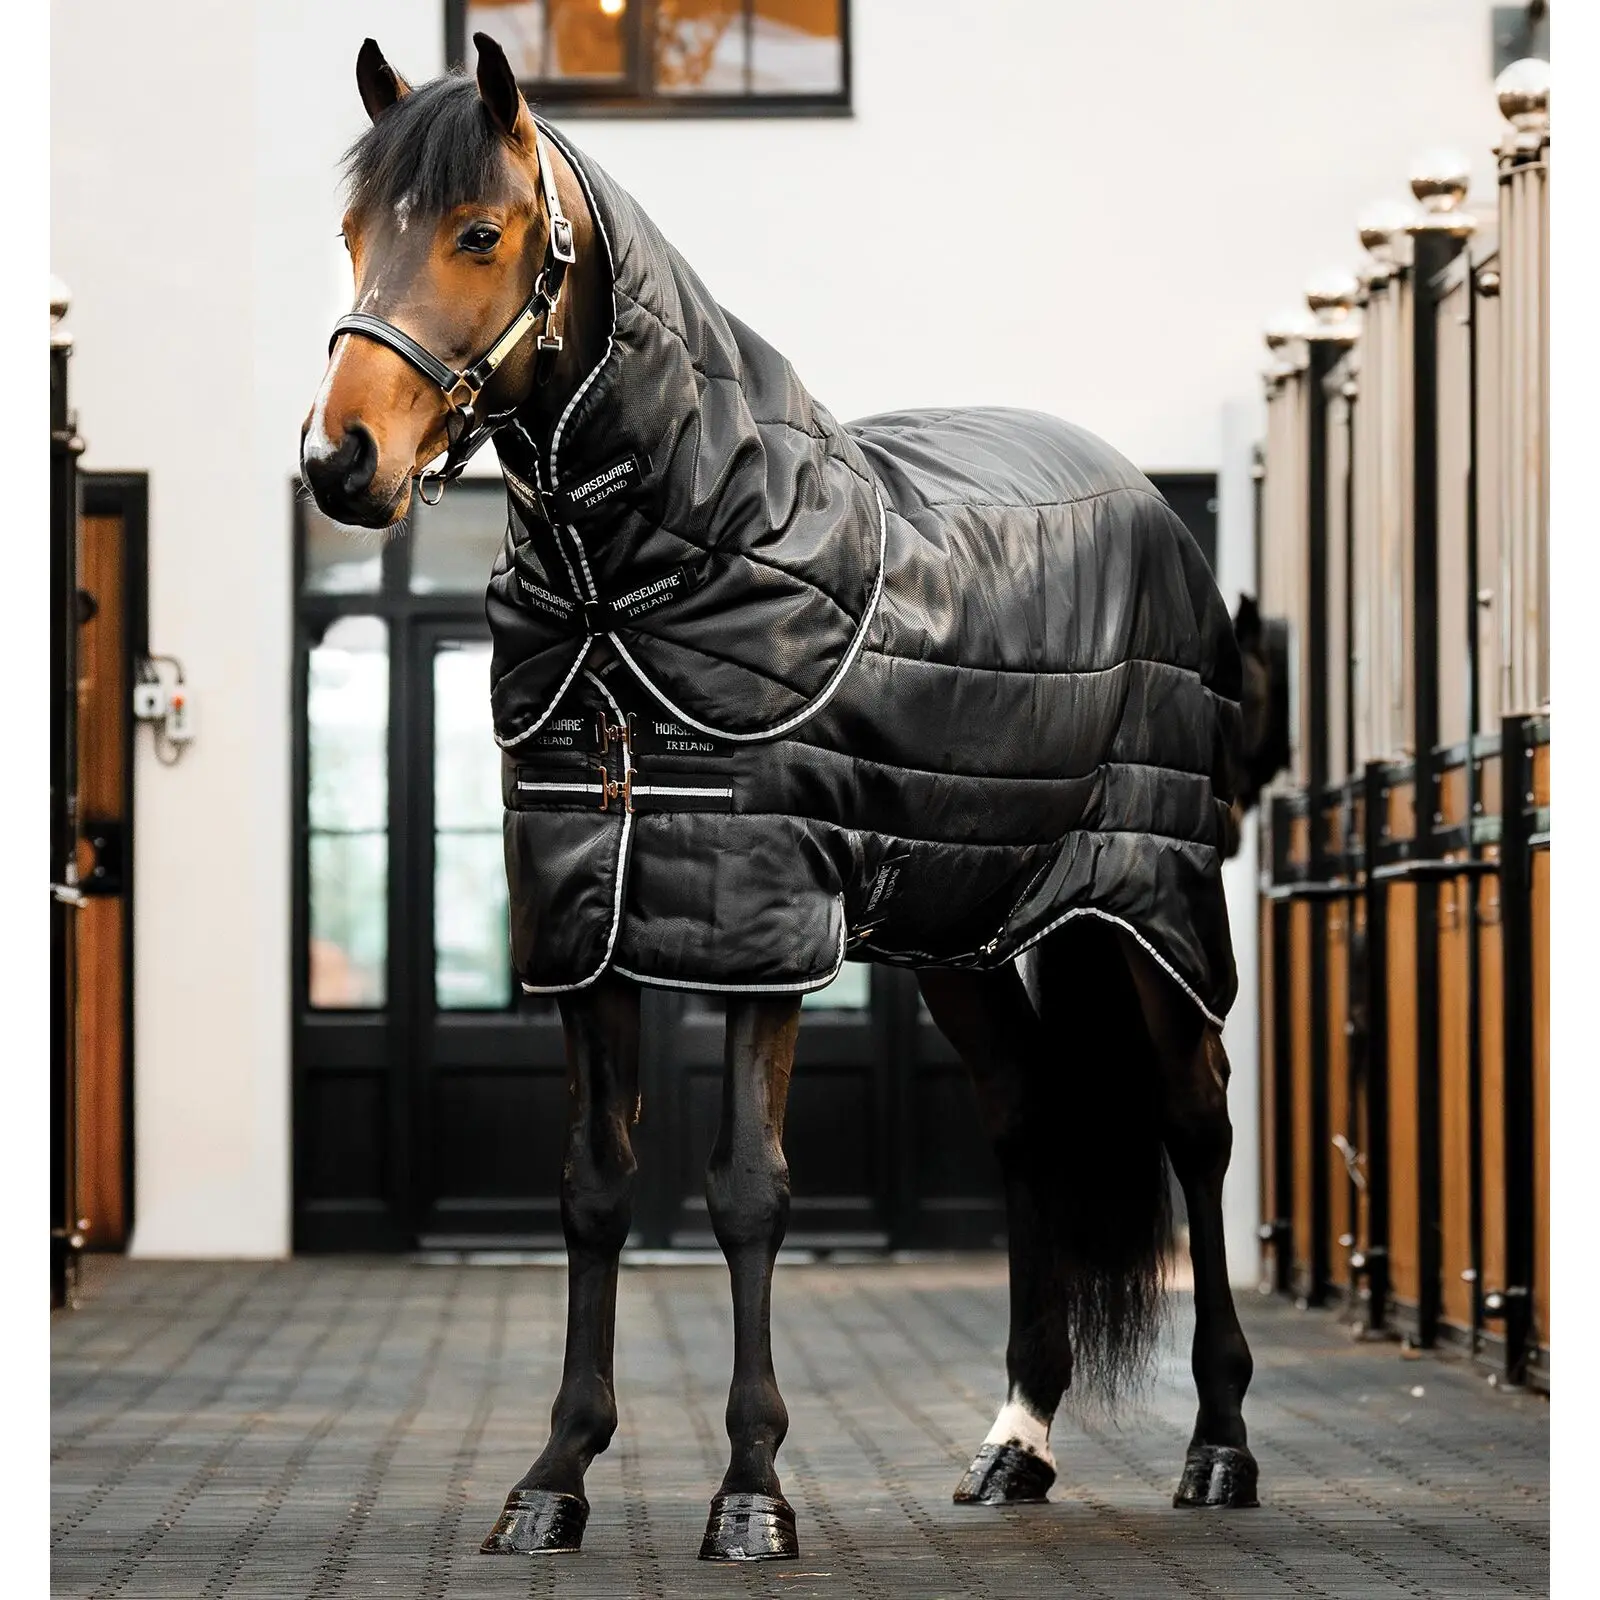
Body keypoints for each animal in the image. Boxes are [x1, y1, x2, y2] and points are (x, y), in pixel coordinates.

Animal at [301, 35, 1261, 1562]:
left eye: (479, 232)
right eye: (349, 234)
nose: (341, 461)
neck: (649, 577)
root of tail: (1152, 505)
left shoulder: (759, 924)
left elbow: (749, 1189)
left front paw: (751, 1490)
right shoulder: (588, 926)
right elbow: (591, 1187)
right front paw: (554, 1477)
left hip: (1149, 897)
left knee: (1194, 1116)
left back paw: (1220, 1442)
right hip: (959, 924)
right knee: (1027, 1114)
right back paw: (1017, 1440)